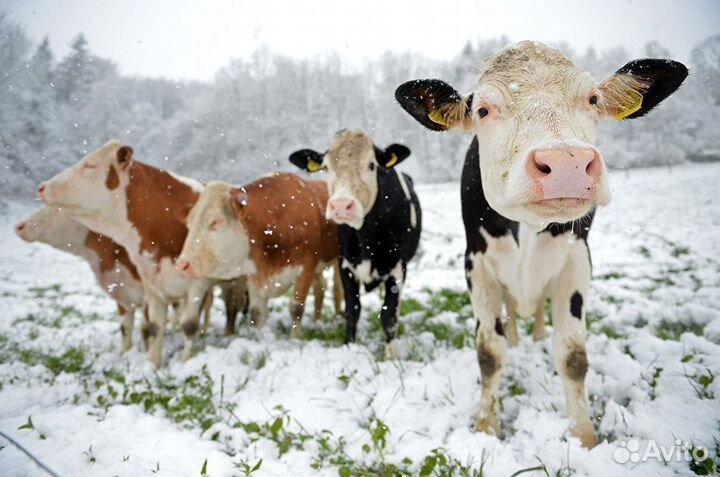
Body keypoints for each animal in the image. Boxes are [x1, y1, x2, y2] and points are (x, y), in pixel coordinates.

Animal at [38, 141, 218, 366]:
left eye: (90, 164)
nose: (42, 187)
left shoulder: (198, 284)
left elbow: (190, 325)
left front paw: (185, 363)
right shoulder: (152, 284)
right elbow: (154, 327)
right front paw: (152, 366)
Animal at [175, 173, 342, 334]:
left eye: (216, 222)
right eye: (189, 223)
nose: (182, 264)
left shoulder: (306, 267)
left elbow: (296, 309)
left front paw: (295, 338)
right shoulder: (256, 273)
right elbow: (257, 314)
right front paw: (258, 338)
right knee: (320, 286)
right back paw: (316, 320)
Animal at [288, 129, 422, 358]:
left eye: (371, 165)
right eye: (325, 167)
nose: (341, 206)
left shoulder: (398, 268)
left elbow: (389, 314)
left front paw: (390, 355)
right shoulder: (346, 265)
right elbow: (352, 310)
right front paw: (349, 346)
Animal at [394, 41, 687, 447]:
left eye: (592, 99)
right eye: (483, 110)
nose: (566, 163)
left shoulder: (577, 261)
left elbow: (573, 357)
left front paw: (584, 437)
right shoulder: (476, 264)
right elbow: (489, 352)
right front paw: (486, 426)